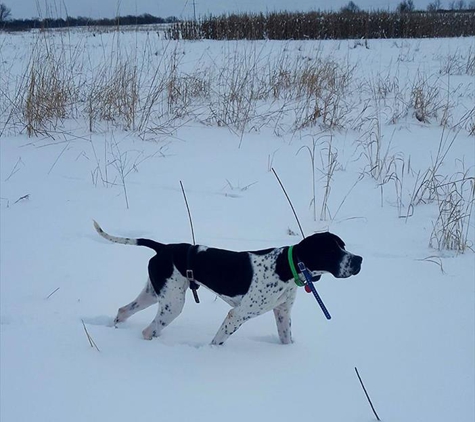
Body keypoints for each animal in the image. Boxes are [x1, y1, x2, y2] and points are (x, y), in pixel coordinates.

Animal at [93, 223, 362, 344]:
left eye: (343, 245)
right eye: (331, 251)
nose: (359, 260)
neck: (284, 267)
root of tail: (164, 248)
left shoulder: (282, 313)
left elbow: (286, 338)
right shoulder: (237, 315)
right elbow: (218, 340)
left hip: (154, 294)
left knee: (123, 311)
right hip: (172, 304)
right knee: (149, 330)